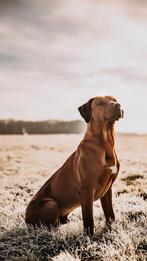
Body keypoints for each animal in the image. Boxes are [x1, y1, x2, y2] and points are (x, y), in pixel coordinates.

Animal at [25, 95, 124, 236]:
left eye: (115, 100)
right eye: (100, 103)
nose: (118, 105)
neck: (105, 143)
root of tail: (25, 217)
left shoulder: (108, 188)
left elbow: (110, 214)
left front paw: (111, 229)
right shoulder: (87, 190)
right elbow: (88, 219)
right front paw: (89, 237)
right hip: (50, 203)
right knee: (47, 225)